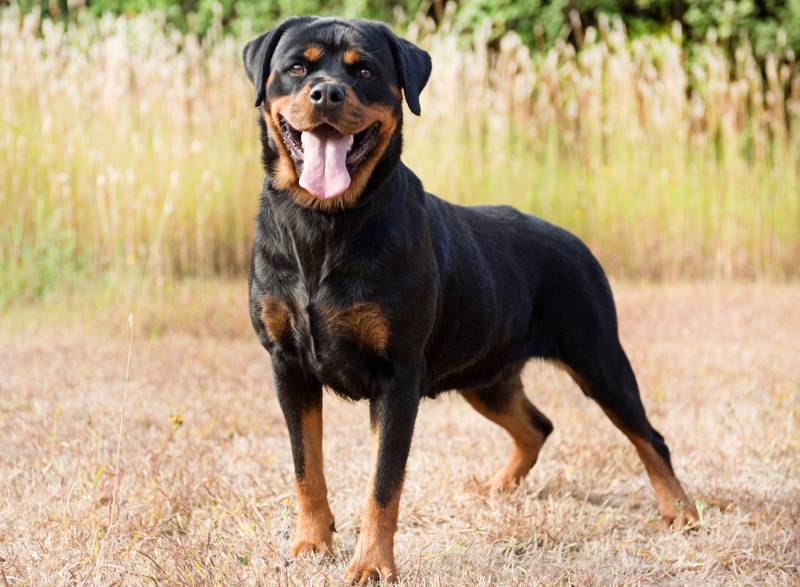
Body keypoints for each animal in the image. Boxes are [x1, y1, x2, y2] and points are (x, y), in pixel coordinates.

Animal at [241, 16, 696, 584]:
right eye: (297, 68)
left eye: (364, 70)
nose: (326, 93)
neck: (324, 224)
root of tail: (574, 242)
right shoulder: (288, 364)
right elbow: (307, 466)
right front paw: (310, 543)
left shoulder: (398, 376)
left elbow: (382, 484)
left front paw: (372, 565)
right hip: (487, 377)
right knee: (537, 426)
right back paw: (499, 488)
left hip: (598, 358)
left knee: (648, 436)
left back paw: (681, 512)